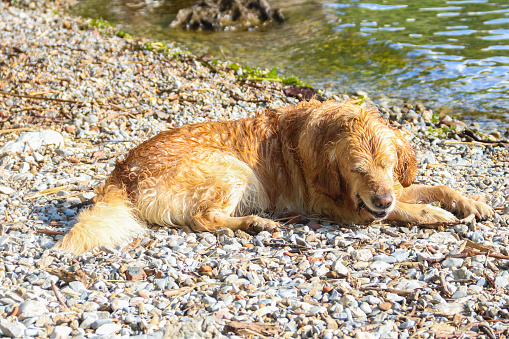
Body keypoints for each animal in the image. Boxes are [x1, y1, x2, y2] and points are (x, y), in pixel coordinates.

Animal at [54, 99, 492, 254]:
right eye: (357, 170)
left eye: (387, 164)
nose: (380, 199)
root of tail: (121, 171)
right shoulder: (340, 207)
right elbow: (406, 208)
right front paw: (433, 215)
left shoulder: (395, 187)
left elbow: (435, 186)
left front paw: (472, 202)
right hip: (236, 169)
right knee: (202, 219)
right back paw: (254, 222)